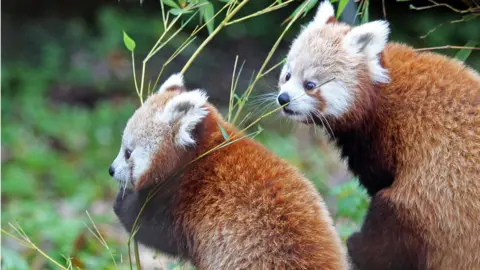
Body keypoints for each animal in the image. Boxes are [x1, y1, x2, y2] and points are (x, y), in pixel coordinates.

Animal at [109, 74, 348, 270]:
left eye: (128, 153)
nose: (111, 170)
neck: (198, 154)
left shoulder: (185, 200)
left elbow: (152, 229)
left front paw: (123, 200)